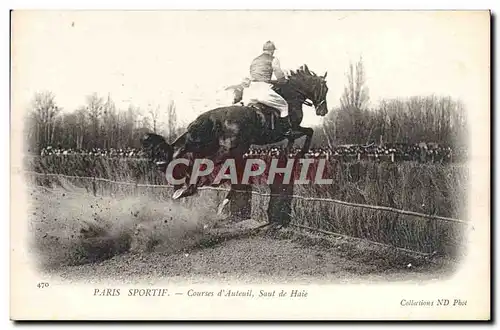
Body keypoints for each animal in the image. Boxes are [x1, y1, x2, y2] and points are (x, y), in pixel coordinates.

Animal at [141, 63, 328, 200]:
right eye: (324, 89)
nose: (323, 111)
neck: (291, 95)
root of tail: (208, 117)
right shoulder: (291, 129)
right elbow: (308, 132)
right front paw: (300, 152)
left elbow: (305, 133)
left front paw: (290, 152)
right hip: (228, 149)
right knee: (206, 163)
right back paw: (198, 185)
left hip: (207, 146)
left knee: (187, 157)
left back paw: (185, 186)